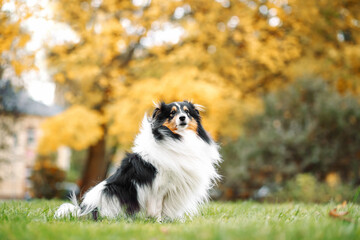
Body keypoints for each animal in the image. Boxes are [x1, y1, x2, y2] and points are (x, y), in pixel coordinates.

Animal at [54, 100, 221, 221]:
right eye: (172, 113)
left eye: (187, 112)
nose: (182, 118)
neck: (178, 138)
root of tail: (83, 209)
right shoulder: (159, 187)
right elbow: (157, 207)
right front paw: (158, 222)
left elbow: (167, 209)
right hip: (112, 193)